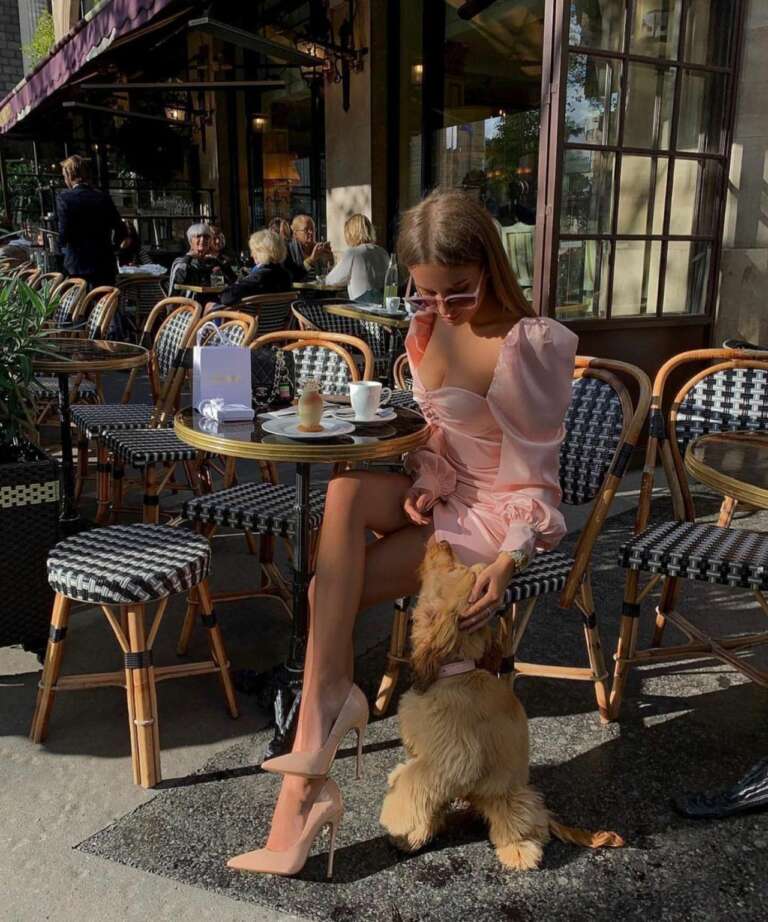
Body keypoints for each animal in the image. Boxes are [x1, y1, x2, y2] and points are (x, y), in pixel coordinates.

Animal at [379, 540, 624, 870]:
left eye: (454, 568)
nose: (441, 541)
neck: (455, 671)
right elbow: (423, 794)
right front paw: (413, 834)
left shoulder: (453, 759)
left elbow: (411, 783)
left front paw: (394, 817)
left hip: (512, 797)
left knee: (527, 823)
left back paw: (519, 850)